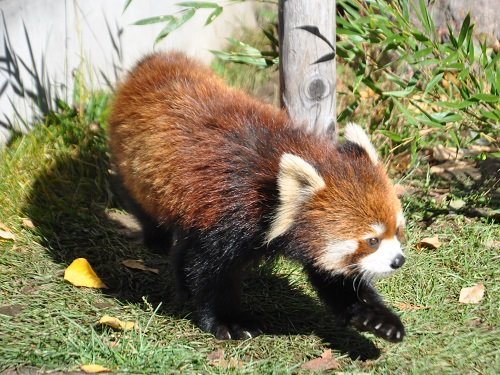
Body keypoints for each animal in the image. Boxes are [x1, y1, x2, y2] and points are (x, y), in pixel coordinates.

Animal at [109, 52, 406, 344]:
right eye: (372, 240)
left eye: (397, 230)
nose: (398, 261)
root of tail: (156, 60)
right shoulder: (226, 213)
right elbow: (211, 272)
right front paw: (229, 321)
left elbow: (334, 278)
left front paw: (378, 319)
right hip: (134, 171)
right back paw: (157, 241)